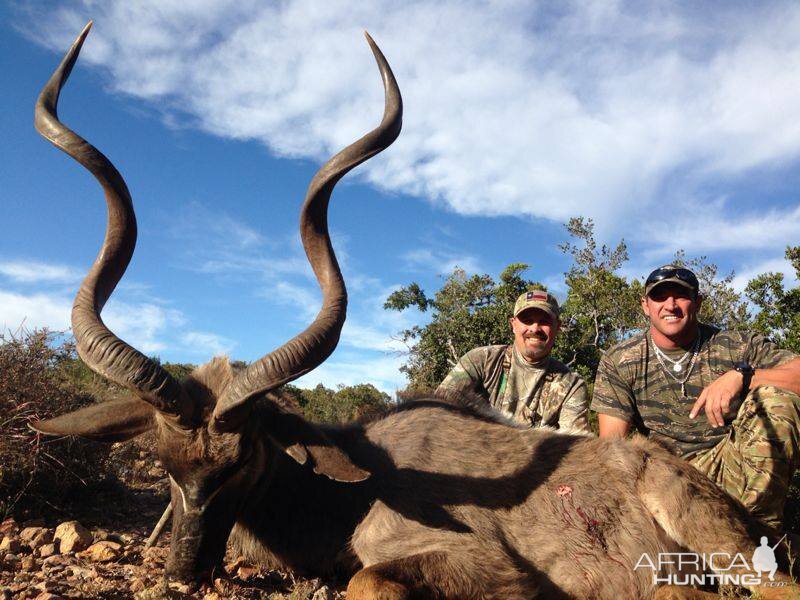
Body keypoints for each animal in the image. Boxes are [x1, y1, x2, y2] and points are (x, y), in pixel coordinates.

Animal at [31, 22, 800, 600]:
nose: (183, 573)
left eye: (244, 459)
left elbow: (369, 581)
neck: (354, 486)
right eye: (163, 462)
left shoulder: (489, 568)